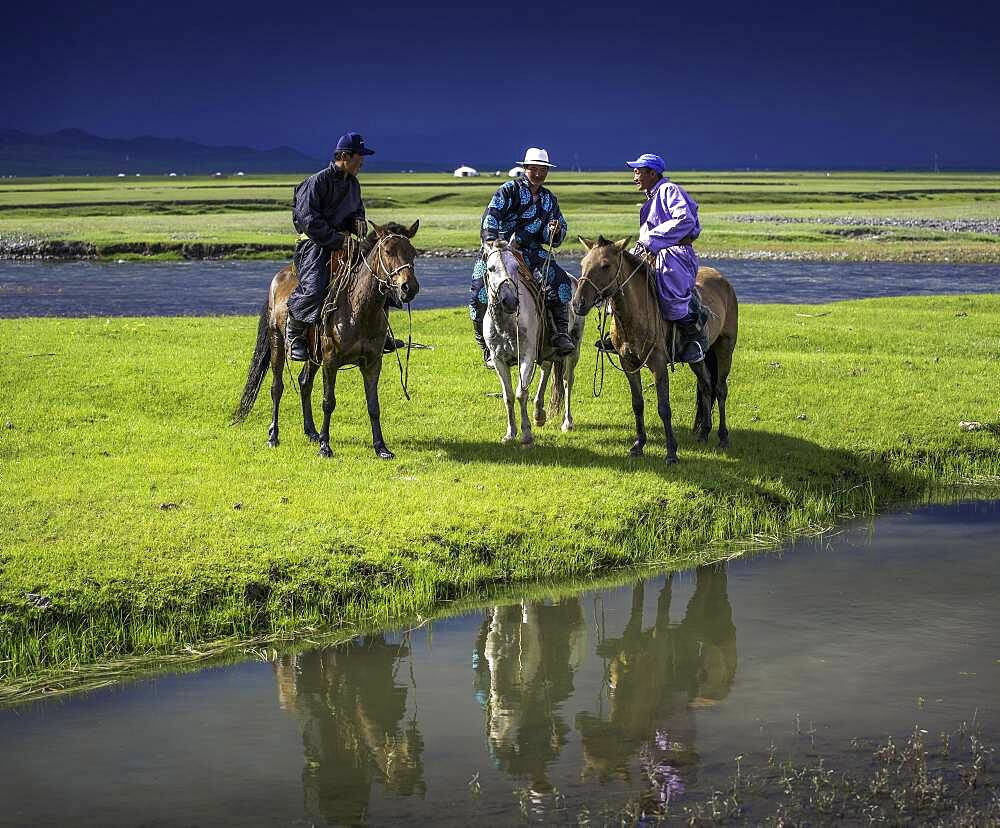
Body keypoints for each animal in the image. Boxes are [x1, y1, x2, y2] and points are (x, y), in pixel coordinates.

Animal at [232, 222, 420, 460]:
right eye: (388, 251)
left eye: (412, 252)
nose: (409, 288)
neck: (358, 307)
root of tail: (278, 278)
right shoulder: (331, 362)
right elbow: (328, 402)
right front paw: (325, 446)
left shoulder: (372, 363)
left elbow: (373, 405)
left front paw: (381, 448)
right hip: (277, 342)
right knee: (277, 387)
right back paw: (274, 436)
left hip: (312, 355)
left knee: (304, 382)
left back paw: (311, 432)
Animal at [480, 238, 584, 446]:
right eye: (491, 268)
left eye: (515, 266)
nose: (510, 301)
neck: (507, 323)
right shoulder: (498, 360)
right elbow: (508, 396)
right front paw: (510, 434)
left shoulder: (526, 356)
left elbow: (521, 393)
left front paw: (526, 434)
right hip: (546, 349)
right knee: (546, 369)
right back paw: (539, 413)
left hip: (574, 348)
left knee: (567, 380)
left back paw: (567, 423)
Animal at [572, 236, 736, 462]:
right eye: (582, 264)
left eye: (605, 265)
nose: (577, 303)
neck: (635, 314)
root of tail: (724, 281)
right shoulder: (628, 362)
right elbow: (637, 403)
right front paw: (639, 444)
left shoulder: (658, 363)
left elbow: (664, 408)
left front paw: (671, 452)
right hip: (697, 357)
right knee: (706, 385)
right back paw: (704, 433)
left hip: (725, 347)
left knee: (720, 389)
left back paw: (723, 436)